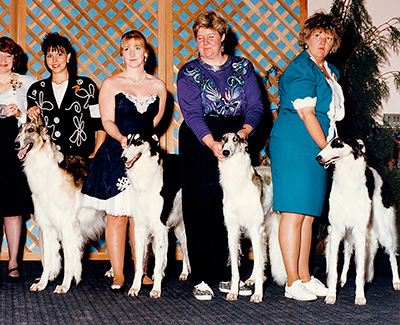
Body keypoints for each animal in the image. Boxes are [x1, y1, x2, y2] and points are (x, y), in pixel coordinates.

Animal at [15, 122, 106, 294]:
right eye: (19, 130)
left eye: (30, 129)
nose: (16, 144)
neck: (48, 170)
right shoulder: (48, 226)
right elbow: (49, 260)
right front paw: (42, 283)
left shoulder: (68, 226)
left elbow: (70, 260)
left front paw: (64, 285)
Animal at [119, 130, 190, 298]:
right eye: (127, 140)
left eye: (138, 141)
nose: (123, 158)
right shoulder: (140, 227)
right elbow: (139, 263)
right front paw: (135, 288)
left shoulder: (159, 226)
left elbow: (158, 264)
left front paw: (156, 289)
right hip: (178, 226)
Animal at [219, 131, 284, 302]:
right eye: (223, 139)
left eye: (236, 139)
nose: (225, 152)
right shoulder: (233, 230)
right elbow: (235, 269)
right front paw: (233, 292)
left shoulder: (255, 228)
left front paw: (258, 294)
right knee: (261, 257)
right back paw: (253, 278)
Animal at [318, 137, 398, 304]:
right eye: (328, 143)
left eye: (338, 143)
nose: (318, 157)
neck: (348, 182)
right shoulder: (336, 230)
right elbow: (334, 269)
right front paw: (331, 295)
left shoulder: (360, 231)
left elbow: (360, 270)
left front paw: (360, 296)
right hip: (349, 235)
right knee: (348, 255)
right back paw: (343, 279)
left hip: (383, 229)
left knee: (392, 254)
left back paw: (396, 281)